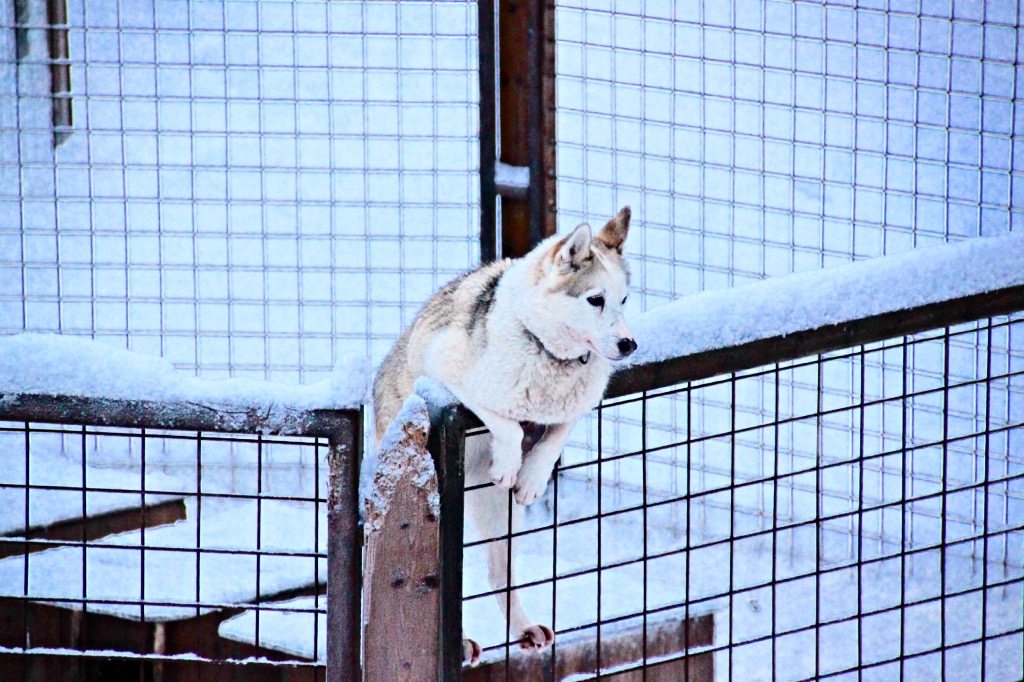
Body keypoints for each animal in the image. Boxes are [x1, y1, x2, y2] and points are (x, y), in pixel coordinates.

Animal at [372, 205, 634, 659]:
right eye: (595, 300)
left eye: (623, 300)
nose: (629, 344)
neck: (546, 351)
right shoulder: (448, 378)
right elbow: (505, 421)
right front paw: (511, 462)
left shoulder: (578, 402)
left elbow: (556, 434)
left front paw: (531, 478)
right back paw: (458, 641)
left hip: (501, 516)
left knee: (500, 575)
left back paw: (524, 627)